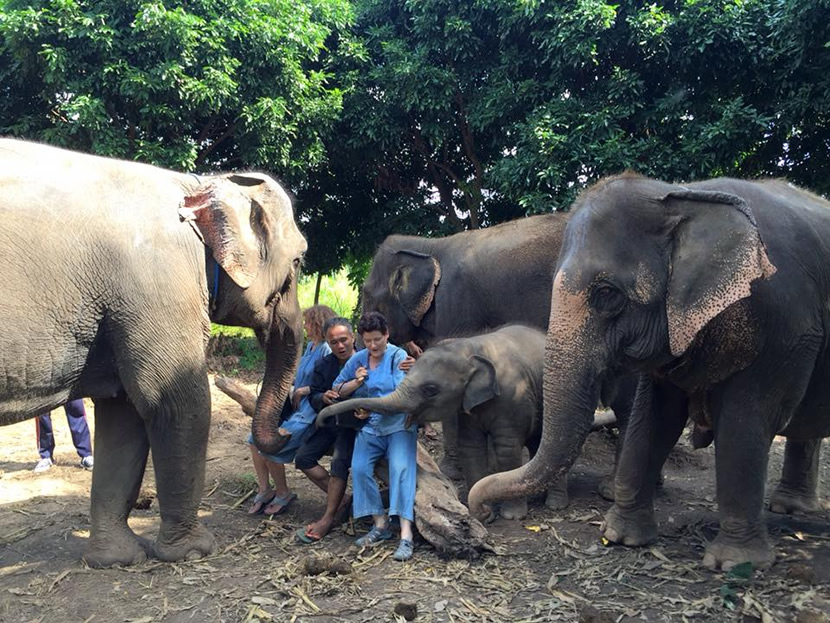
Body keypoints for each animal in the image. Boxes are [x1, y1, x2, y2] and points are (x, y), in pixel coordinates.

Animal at [0, 139, 306, 567]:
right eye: (298, 260)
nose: (288, 428)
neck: (199, 185)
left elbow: (123, 414)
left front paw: (117, 560)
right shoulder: (158, 288)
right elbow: (177, 401)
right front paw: (195, 550)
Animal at [316, 324, 634, 516]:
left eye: (430, 390)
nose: (322, 421)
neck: (470, 348)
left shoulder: (513, 397)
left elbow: (506, 450)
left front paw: (510, 515)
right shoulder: (465, 407)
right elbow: (471, 447)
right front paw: (480, 511)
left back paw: (555, 506)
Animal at [468, 172, 830, 570]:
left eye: (607, 293)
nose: (479, 512)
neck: (682, 194)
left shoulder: (785, 327)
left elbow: (745, 422)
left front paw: (734, 563)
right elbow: (654, 417)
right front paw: (621, 537)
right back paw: (790, 507)